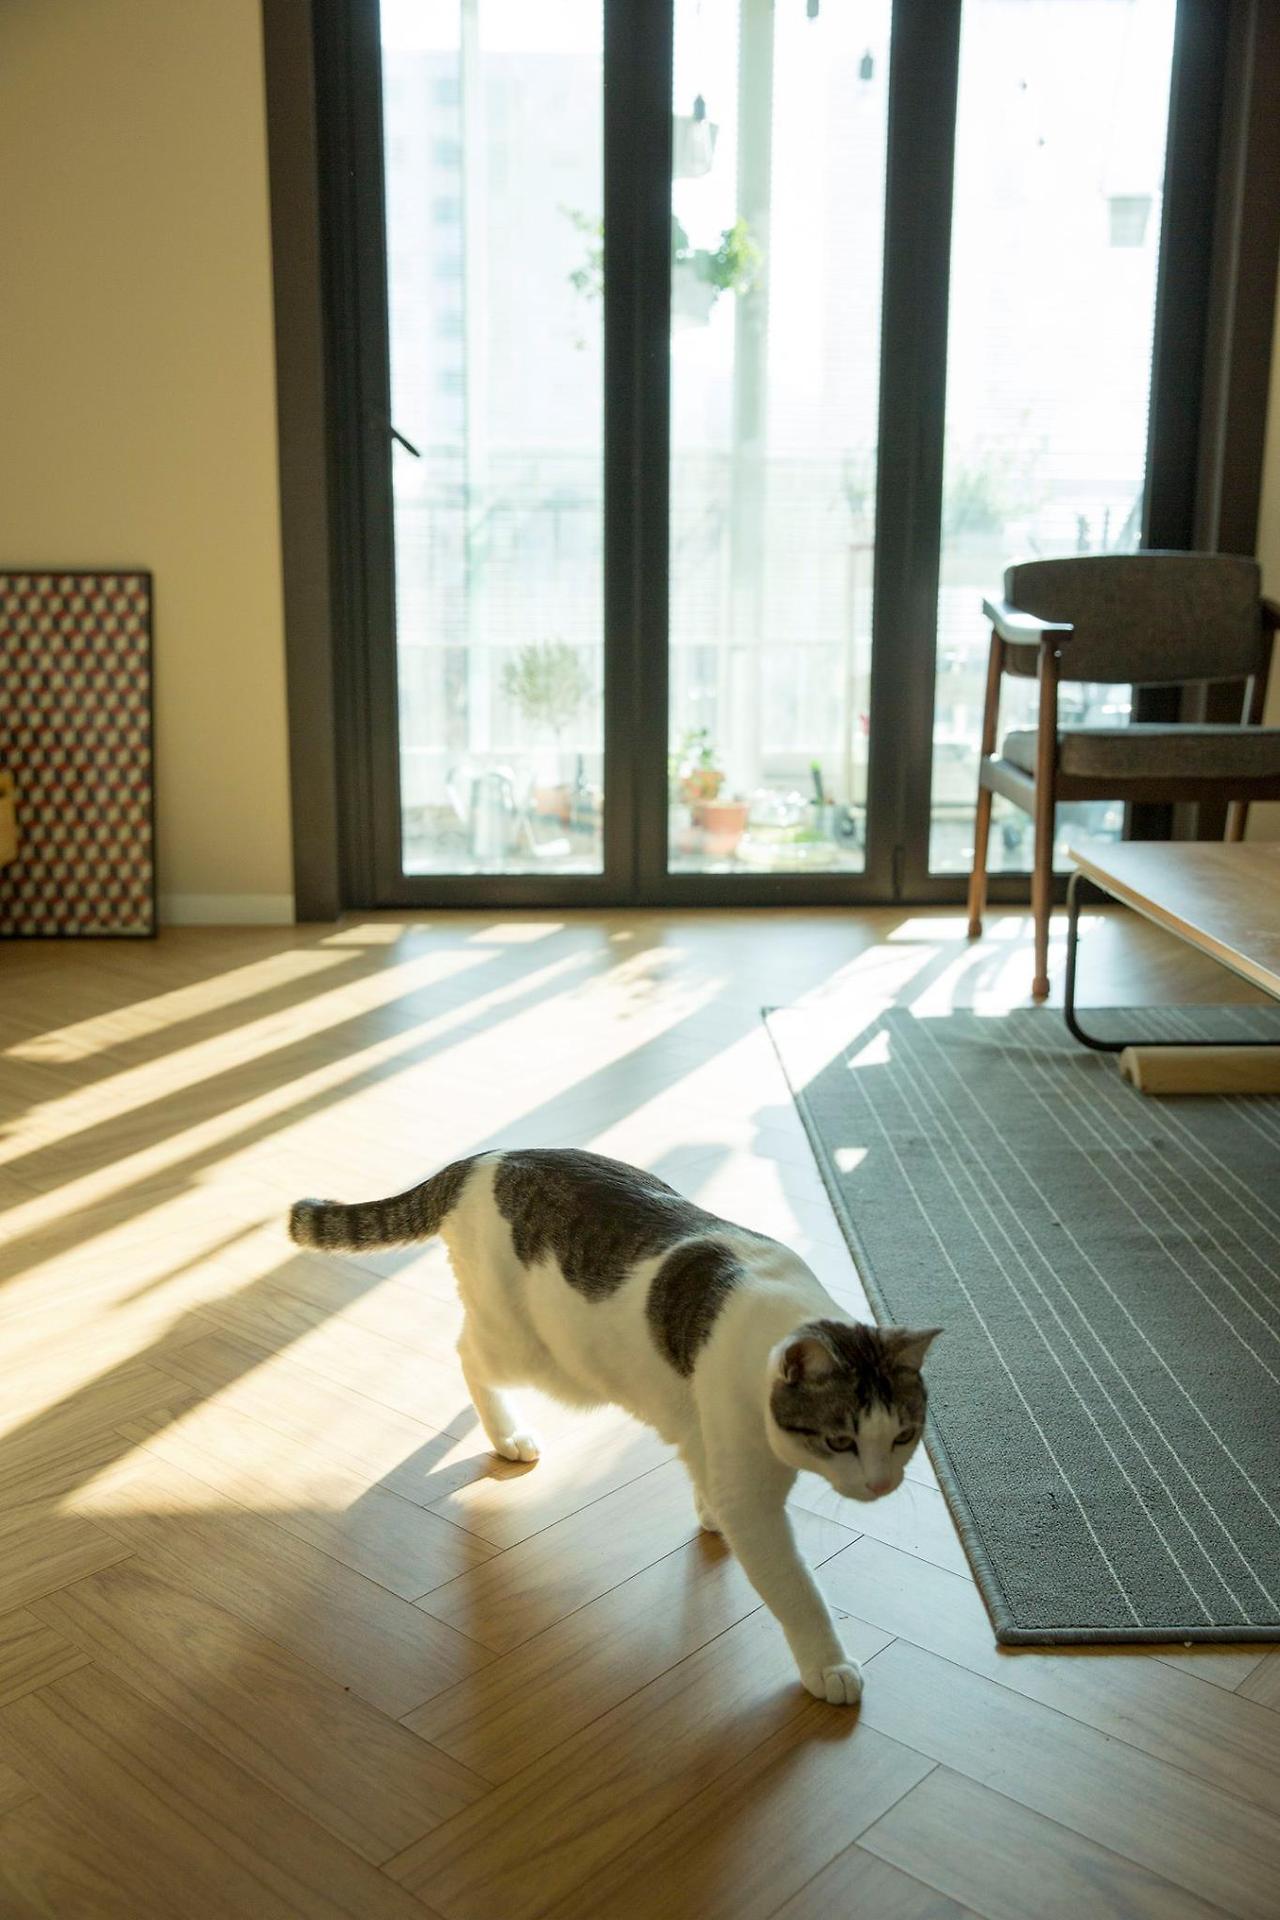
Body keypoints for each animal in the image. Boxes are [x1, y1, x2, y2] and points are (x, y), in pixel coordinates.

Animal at [289, 1147, 938, 1706]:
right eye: (840, 1441)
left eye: (904, 1436)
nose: (881, 1485)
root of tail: (482, 1158)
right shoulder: (751, 1497)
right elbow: (797, 1590)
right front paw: (829, 1666)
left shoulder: (706, 1434)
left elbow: (704, 1472)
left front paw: (707, 1512)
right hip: (535, 1354)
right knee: (467, 1352)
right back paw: (507, 1434)